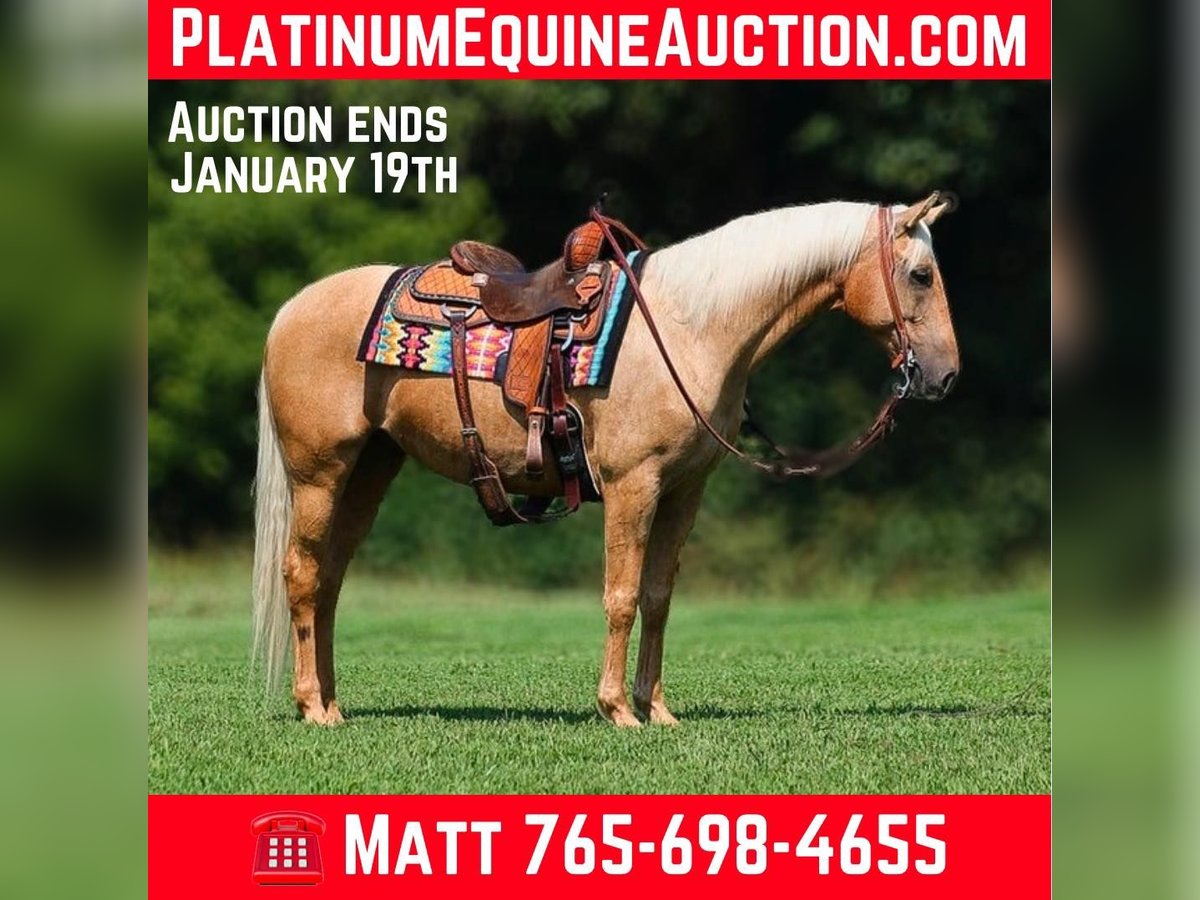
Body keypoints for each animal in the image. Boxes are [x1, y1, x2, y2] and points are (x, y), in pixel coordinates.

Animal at [252, 193, 960, 728]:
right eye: (921, 274)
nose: (945, 376)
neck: (686, 329)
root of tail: (291, 309)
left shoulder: (684, 490)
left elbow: (658, 595)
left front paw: (658, 710)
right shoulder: (632, 485)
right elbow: (621, 596)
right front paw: (617, 709)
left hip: (370, 469)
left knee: (330, 580)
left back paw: (334, 704)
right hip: (319, 473)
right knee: (302, 575)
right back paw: (312, 706)